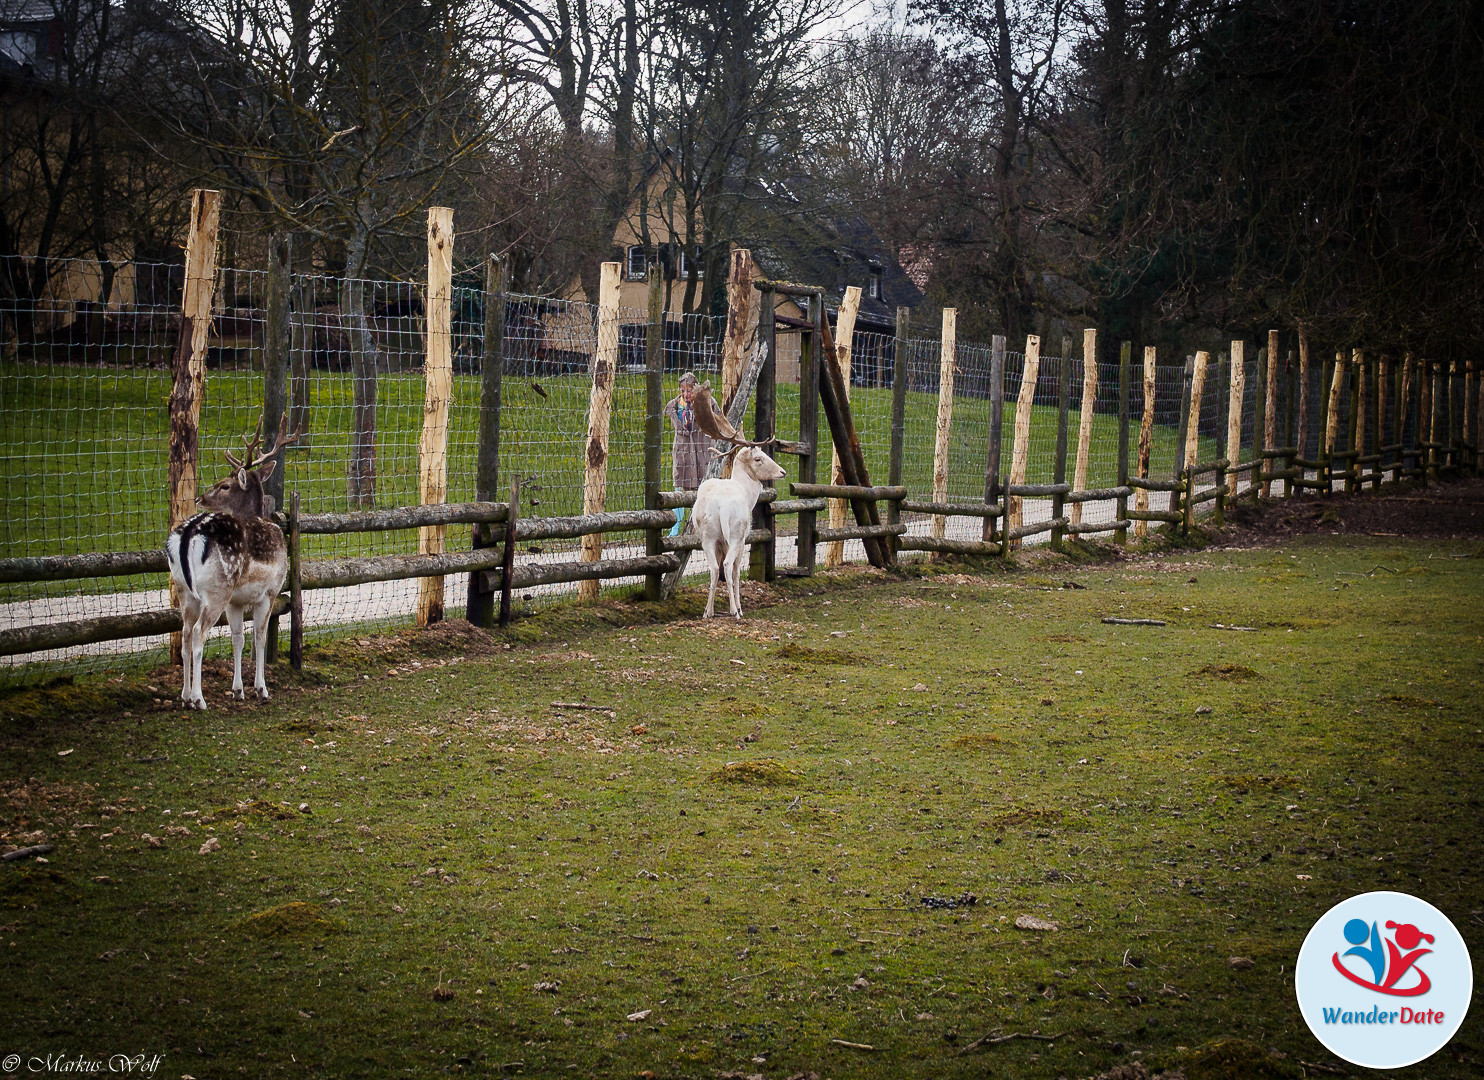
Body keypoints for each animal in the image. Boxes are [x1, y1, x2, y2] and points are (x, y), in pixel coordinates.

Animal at [167, 418, 298, 709]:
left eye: (225, 485)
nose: (199, 498)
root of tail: (189, 532)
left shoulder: (235, 601)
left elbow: (238, 638)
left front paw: (238, 690)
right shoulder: (270, 591)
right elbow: (259, 637)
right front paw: (261, 689)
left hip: (184, 590)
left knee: (184, 635)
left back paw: (184, 696)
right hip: (217, 588)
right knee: (198, 634)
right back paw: (199, 699)